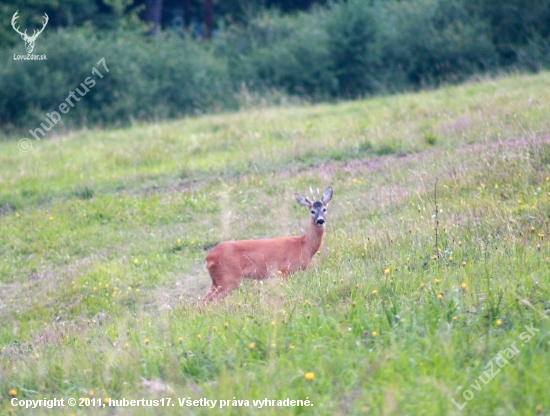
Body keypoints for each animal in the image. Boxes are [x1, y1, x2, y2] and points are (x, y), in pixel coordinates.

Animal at [205, 187, 334, 300]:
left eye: (324, 209)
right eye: (312, 211)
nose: (320, 220)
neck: (304, 244)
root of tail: (208, 258)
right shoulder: (285, 270)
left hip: (216, 280)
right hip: (228, 278)